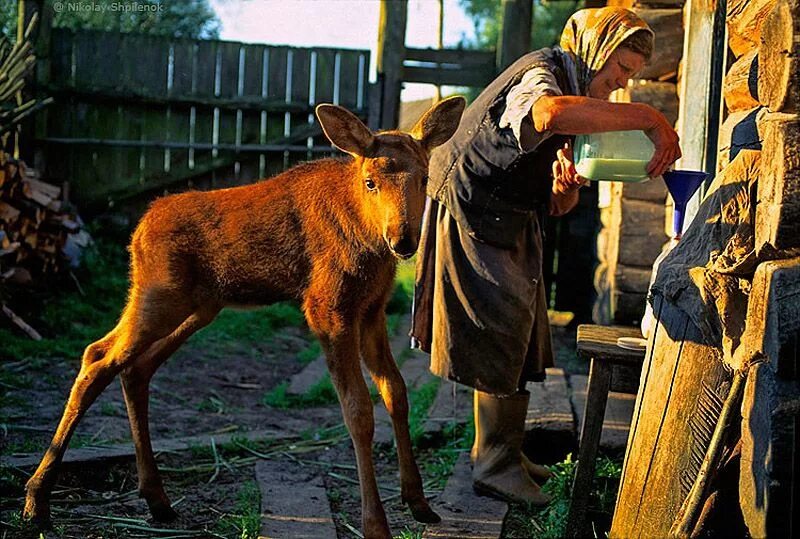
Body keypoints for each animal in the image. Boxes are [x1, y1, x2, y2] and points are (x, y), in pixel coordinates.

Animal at [25, 95, 466, 536]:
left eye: (424, 178)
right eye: (371, 181)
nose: (403, 240)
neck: (367, 240)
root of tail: (138, 230)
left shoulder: (371, 310)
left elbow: (396, 392)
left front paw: (418, 501)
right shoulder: (326, 308)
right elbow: (358, 411)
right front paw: (375, 524)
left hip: (198, 307)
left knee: (135, 368)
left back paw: (157, 498)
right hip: (157, 295)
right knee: (97, 356)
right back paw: (37, 497)